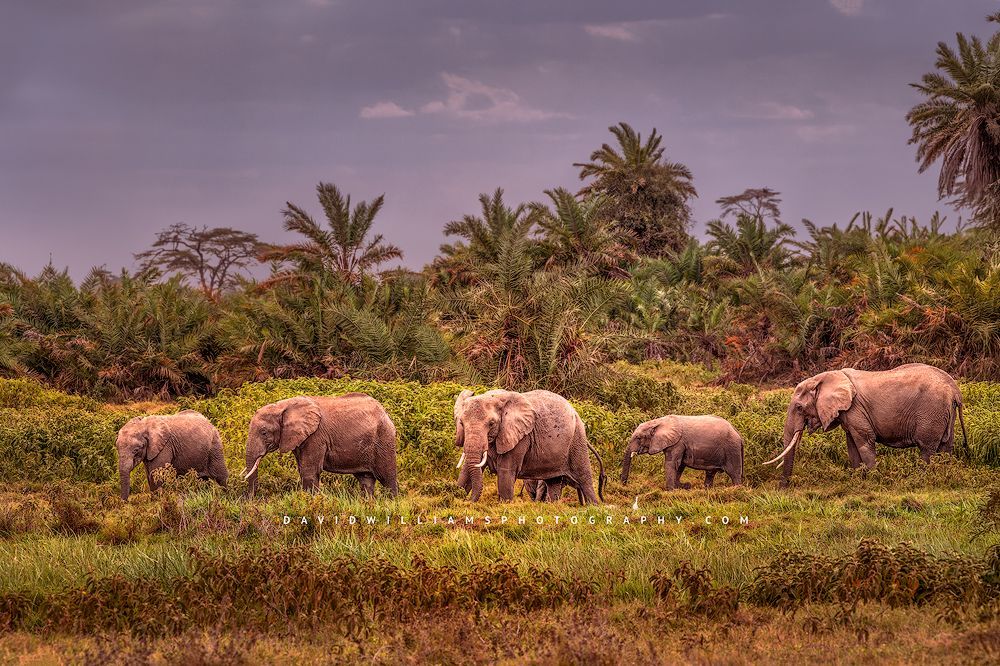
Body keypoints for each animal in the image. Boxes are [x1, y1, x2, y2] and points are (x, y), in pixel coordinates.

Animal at [243, 393, 398, 497]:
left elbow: (309, 472)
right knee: (366, 480)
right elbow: (303, 470)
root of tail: (384, 412)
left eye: (264, 432)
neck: (283, 406)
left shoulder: (316, 437)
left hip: (384, 438)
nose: (252, 500)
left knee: (387, 478)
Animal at [453, 389, 606, 504]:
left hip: (577, 438)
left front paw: (504, 505)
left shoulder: (521, 437)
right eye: (461, 423)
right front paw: (455, 496)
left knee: (584, 478)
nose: (469, 501)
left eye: (491, 424)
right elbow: (467, 470)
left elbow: (506, 472)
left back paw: (594, 507)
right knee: (553, 482)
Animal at [765, 363, 968, 486]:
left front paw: (873, 480)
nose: (783, 488)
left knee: (927, 449)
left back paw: (923, 479)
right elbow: (852, 446)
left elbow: (864, 442)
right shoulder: (848, 414)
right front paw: (858, 481)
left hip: (931, 412)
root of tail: (955, 390)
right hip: (944, 413)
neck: (827, 377)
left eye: (799, 408)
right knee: (946, 447)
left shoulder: (855, 409)